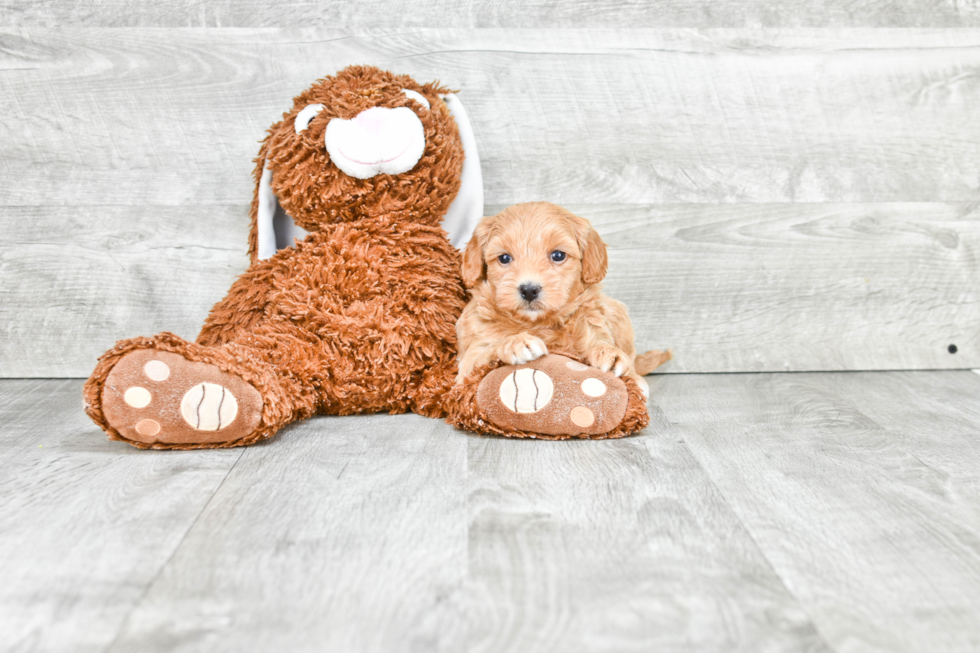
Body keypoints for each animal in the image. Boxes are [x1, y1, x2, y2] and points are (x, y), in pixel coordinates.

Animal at [458, 201, 668, 394]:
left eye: (558, 255)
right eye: (504, 258)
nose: (529, 290)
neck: (539, 323)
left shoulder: (591, 322)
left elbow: (600, 341)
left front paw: (609, 352)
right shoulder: (465, 369)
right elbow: (483, 353)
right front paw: (515, 342)